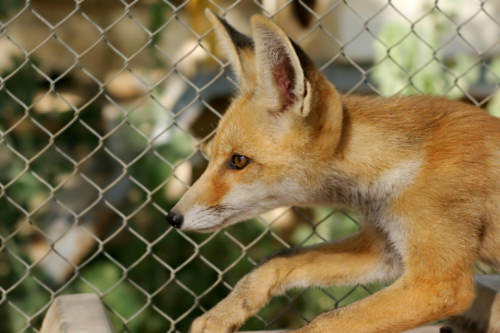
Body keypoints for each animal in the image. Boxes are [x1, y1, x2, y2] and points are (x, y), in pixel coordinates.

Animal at [166, 8, 500, 332]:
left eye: (238, 161)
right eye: (212, 157)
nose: (172, 218)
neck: (397, 164)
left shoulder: (437, 283)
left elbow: (326, 321)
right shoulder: (383, 249)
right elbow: (276, 260)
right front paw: (222, 315)